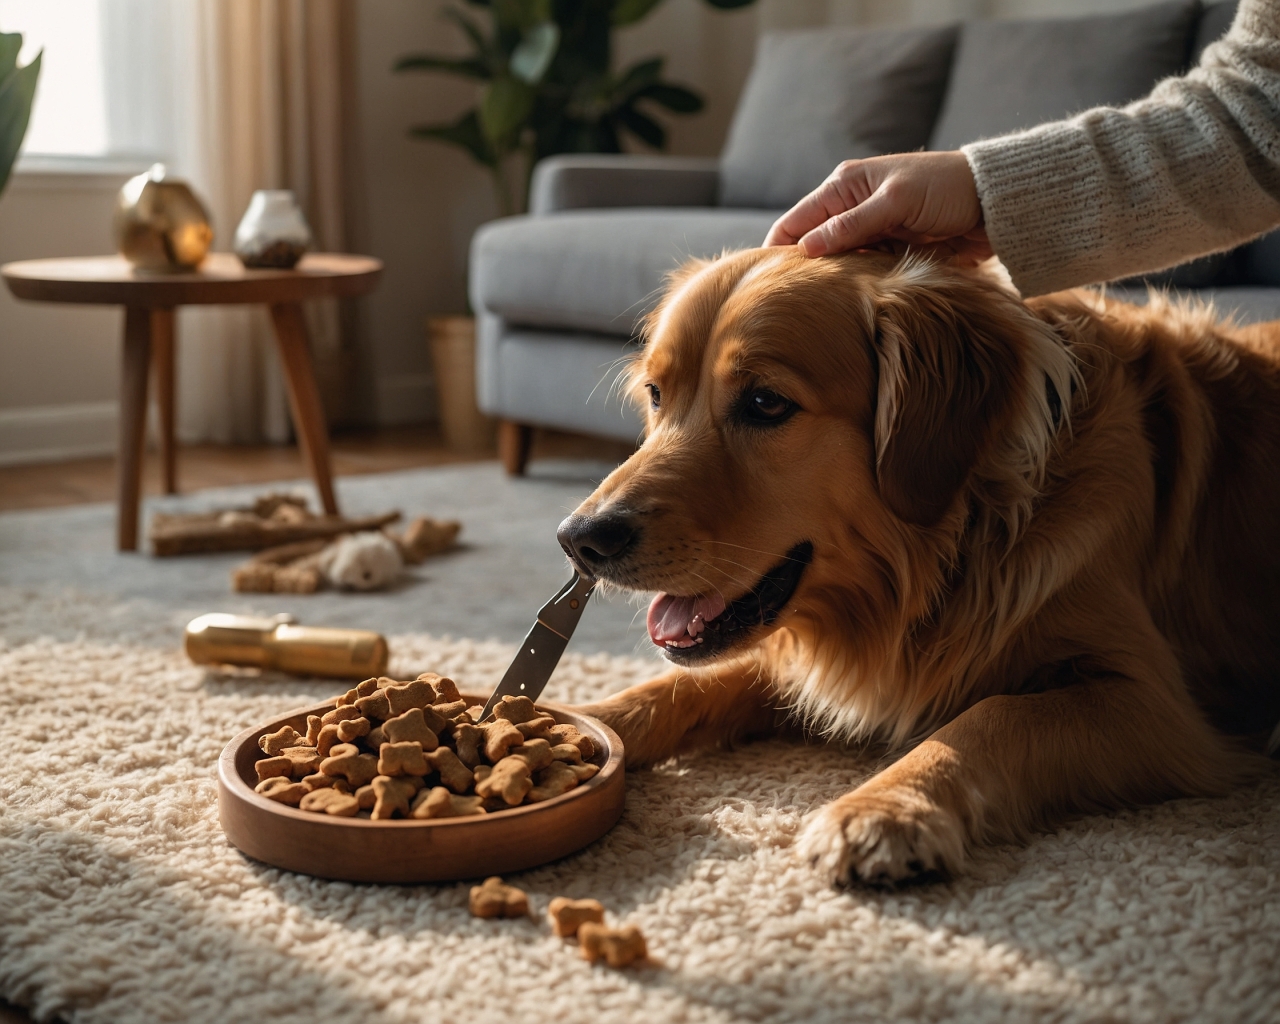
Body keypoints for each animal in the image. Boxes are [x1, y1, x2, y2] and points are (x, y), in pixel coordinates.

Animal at [558, 248, 1280, 885]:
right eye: (657, 394)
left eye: (766, 403)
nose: (579, 539)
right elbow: (680, 688)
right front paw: (576, 718)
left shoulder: (1155, 705)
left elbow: (995, 716)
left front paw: (885, 809)